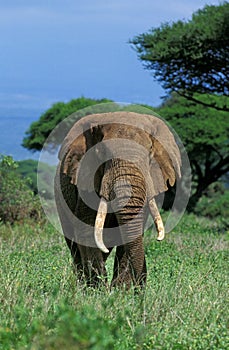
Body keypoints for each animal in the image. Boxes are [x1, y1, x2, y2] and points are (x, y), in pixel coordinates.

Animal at [54, 112, 182, 290]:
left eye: (150, 152)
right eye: (101, 153)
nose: (140, 291)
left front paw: (120, 292)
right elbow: (86, 229)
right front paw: (98, 292)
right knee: (74, 245)